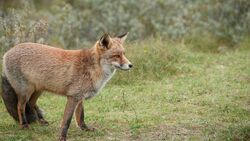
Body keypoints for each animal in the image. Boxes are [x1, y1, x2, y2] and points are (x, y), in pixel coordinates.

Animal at [0, 32, 133, 140]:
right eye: (116, 55)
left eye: (124, 54)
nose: (131, 65)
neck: (93, 69)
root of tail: (7, 52)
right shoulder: (73, 97)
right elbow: (67, 121)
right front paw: (62, 137)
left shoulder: (80, 97)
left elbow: (80, 116)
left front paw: (85, 129)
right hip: (25, 91)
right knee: (20, 107)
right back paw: (24, 125)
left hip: (38, 90)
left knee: (31, 104)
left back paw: (40, 122)